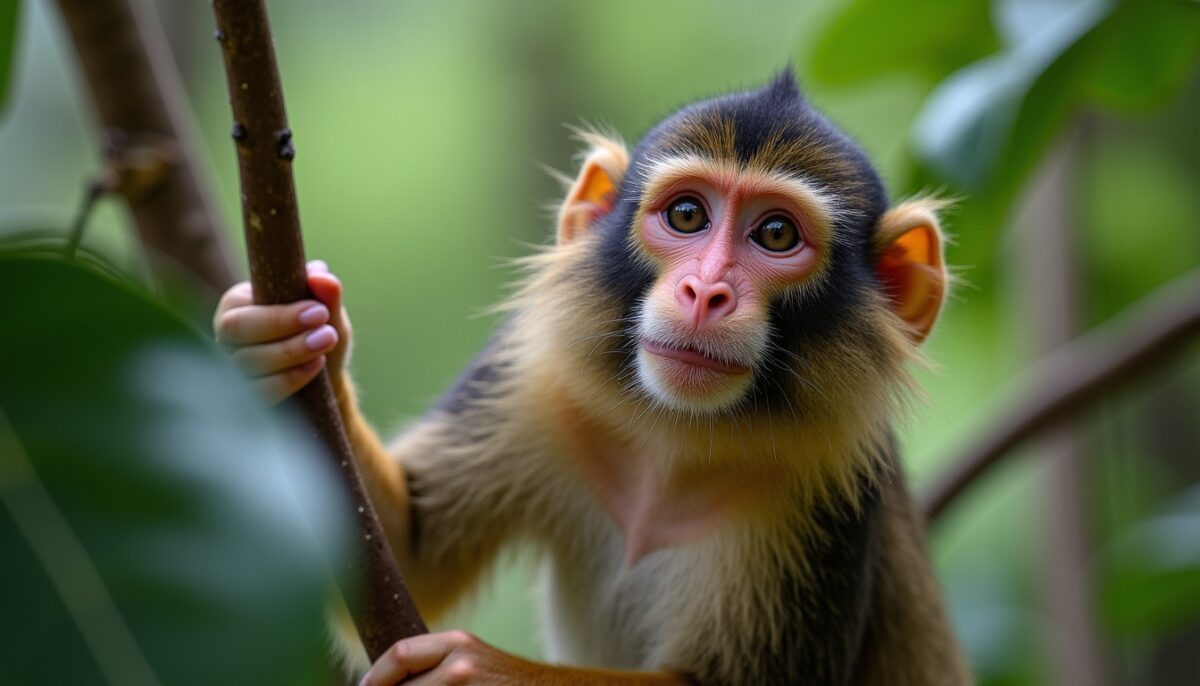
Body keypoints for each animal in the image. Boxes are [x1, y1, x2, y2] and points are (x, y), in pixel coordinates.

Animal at [214, 69, 972, 685]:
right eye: (688, 215)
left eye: (777, 235)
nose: (705, 292)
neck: (675, 436)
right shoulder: (533, 381)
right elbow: (411, 557)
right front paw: (281, 340)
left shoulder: (834, 483)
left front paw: (482, 673)